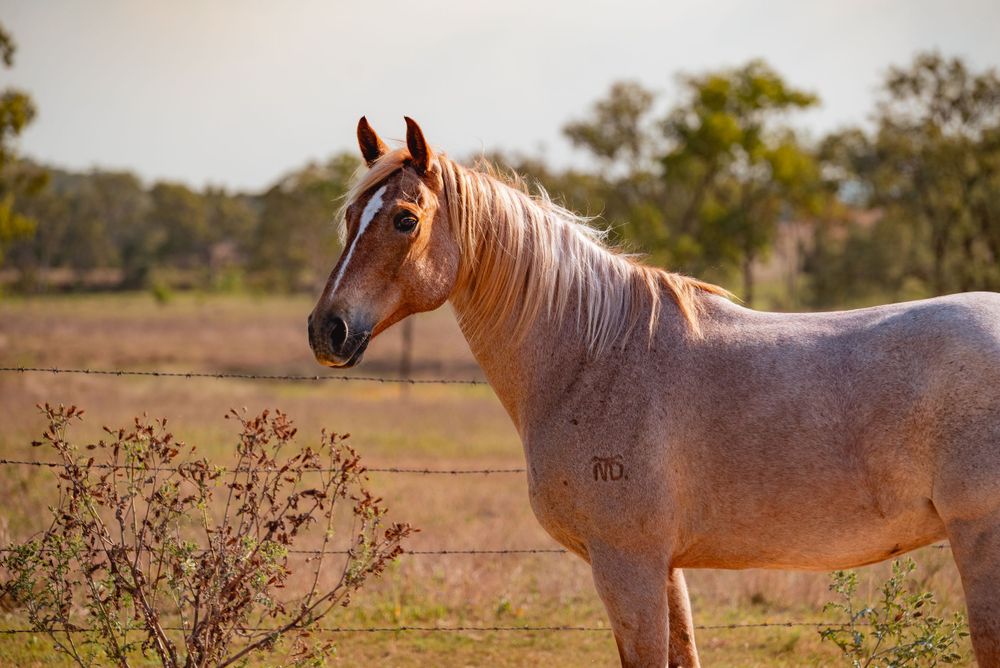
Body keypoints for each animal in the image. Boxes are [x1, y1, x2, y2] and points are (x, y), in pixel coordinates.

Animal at [307, 116, 1000, 667]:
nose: (326, 329)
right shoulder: (665, 570)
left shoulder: (628, 565)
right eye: (349, 216)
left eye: (405, 219)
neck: (596, 357)